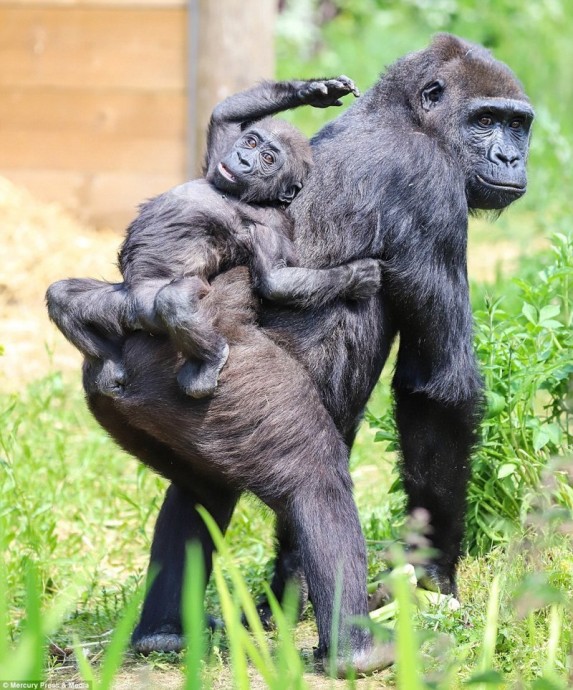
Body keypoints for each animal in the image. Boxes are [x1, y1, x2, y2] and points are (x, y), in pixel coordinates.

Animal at [47, 76, 378, 396]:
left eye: (269, 159)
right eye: (251, 141)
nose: (243, 159)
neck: (245, 196)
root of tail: (136, 318)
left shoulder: (271, 226)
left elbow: (275, 281)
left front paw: (356, 276)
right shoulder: (221, 155)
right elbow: (224, 115)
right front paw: (316, 90)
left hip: (161, 308)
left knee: (173, 303)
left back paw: (210, 361)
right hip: (121, 306)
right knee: (62, 297)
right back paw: (107, 363)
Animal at [85, 33, 532, 672]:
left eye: (518, 125)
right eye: (486, 120)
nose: (512, 160)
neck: (403, 117)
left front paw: (284, 597)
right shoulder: (430, 186)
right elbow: (437, 392)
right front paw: (433, 577)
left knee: (202, 490)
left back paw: (162, 634)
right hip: (216, 373)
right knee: (314, 478)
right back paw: (356, 650)